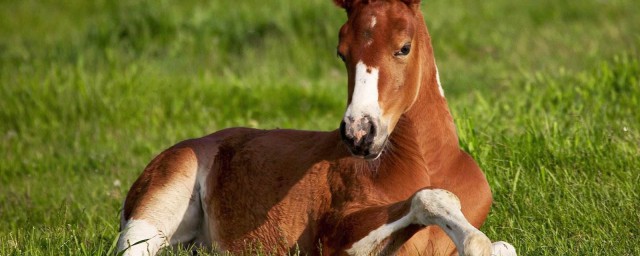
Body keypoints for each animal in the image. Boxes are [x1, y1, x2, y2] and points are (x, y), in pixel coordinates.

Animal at [115, 0, 516, 256]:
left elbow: (503, 246)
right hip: (156, 206)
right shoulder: (334, 238)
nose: (359, 133)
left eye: (404, 47)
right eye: (342, 53)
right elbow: (430, 198)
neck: (428, 163)